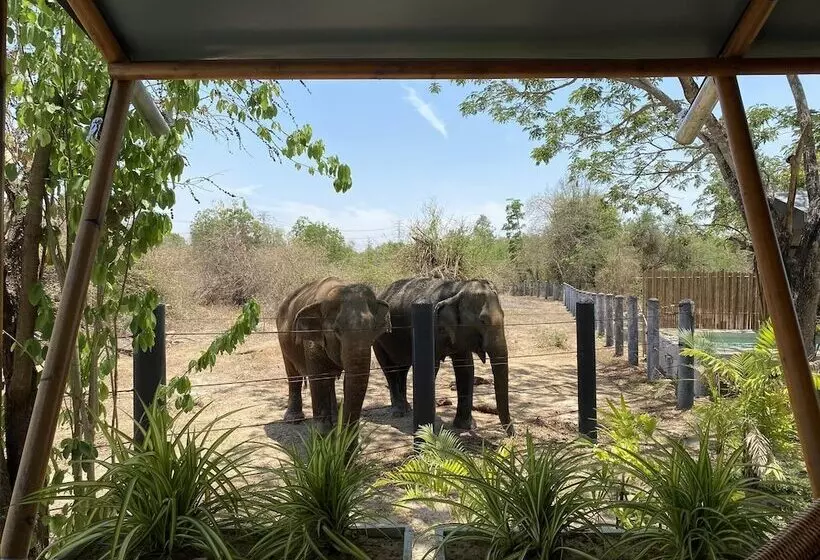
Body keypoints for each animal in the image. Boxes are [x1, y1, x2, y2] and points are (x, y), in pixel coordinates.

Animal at [276, 277, 391, 431]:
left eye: (374, 329)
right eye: (336, 330)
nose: (348, 434)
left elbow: (347, 380)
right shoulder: (313, 342)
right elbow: (319, 378)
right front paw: (323, 433)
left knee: (329, 380)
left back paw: (335, 418)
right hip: (283, 340)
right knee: (293, 373)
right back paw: (294, 419)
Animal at [373, 277, 514, 436]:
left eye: (503, 316)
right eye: (483, 320)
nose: (512, 434)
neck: (457, 287)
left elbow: (466, 368)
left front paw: (467, 426)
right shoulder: (431, 326)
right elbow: (432, 365)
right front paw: (426, 430)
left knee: (402, 369)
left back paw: (407, 408)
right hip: (378, 336)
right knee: (389, 368)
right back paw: (398, 412)